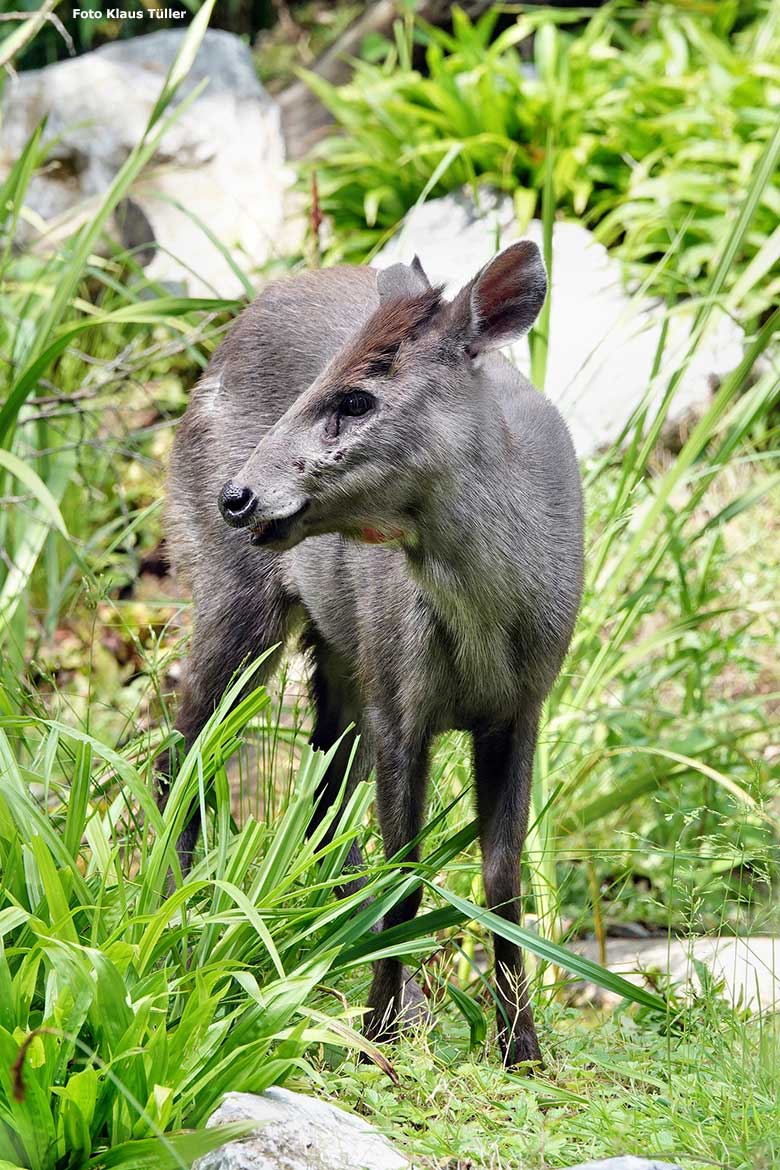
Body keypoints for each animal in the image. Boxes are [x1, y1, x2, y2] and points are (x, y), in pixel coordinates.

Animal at [161, 242, 582, 1067]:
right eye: (319, 382)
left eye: (355, 400)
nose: (238, 497)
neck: (487, 626)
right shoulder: (399, 702)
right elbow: (406, 873)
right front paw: (375, 1038)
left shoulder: (522, 708)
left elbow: (502, 877)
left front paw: (520, 1049)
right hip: (235, 598)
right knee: (184, 746)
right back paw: (175, 919)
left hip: (339, 652)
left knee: (321, 804)